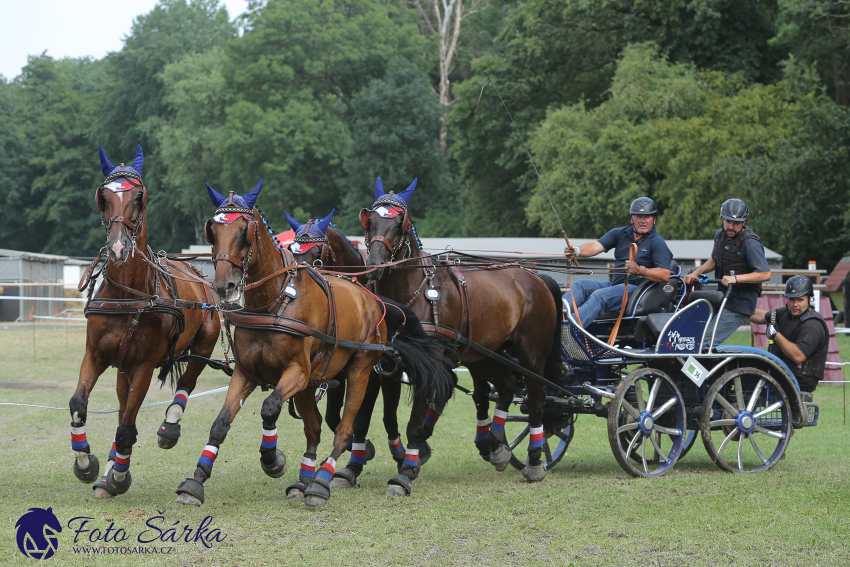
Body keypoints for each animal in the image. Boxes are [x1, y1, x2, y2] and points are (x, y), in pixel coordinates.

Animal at [70, 145, 220, 496]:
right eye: (104, 197)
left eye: (139, 197)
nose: (118, 247)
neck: (128, 295)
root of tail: (198, 273)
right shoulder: (96, 355)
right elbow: (79, 405)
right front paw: (87, 464)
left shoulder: (144, 365)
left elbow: (127, 425)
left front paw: (119, 476)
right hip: (122, 366)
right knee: (123, 404)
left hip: (204, 344)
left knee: (187, 382)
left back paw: (169, 427)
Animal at [284, 211, 418, 482]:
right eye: (293, 250)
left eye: (318, 252)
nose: (299, 283)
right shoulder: (334, 373)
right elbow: (333, 416)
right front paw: (360, 449)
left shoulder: (368, 373)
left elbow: (361, 416)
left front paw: (359, 452)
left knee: (389, 413)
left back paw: (401, 453)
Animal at [358, 175, 564, 486]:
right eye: (370, 222)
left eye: (398, 224)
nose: (374, 266)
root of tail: (535, 277)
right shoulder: (390, 365)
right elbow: (389, 419)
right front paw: (406, 460)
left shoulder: (432, 362)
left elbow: (416, 423)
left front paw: (406, 473)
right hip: (487, 352)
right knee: (504, 386)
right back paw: (496, 445)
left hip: (531, 354)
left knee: (537, 401)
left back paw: (535, 461)